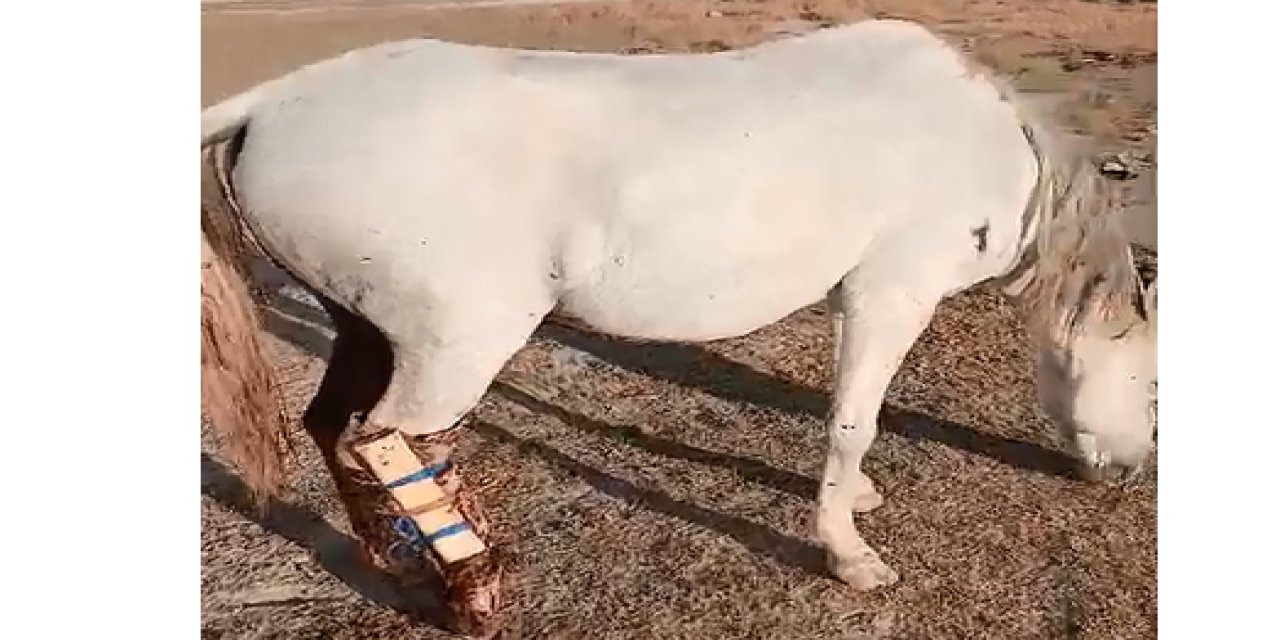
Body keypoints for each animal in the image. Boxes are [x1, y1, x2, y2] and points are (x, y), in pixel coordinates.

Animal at [199, 20, 1162, 634]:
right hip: (455, 345)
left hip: (364, 329)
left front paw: (854, 502)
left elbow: (846, 418)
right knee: (389, 440)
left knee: (333, 429)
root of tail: (275, 104)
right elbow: (855, 421)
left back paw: (399, 568)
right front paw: (850, 554)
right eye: (1155, 384)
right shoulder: (892, 293)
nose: (1130, 472)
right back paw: (472, 589)